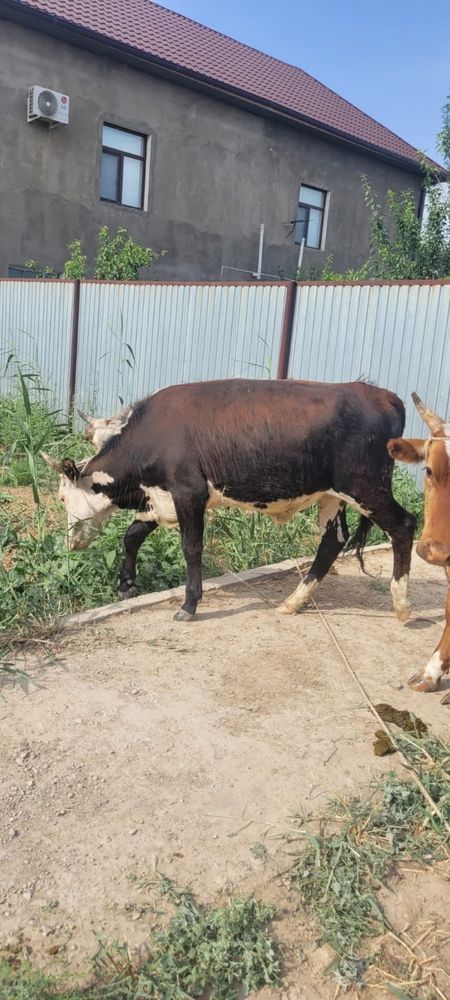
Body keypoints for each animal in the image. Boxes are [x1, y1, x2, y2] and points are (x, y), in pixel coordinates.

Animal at [42, 378, 415, 623]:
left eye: (61, 496)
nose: (70, 543)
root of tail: (379, 393)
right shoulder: (160, 498)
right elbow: (132, 535)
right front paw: (126, 584)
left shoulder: (188, 492)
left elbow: (191, 547)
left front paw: (189, 605)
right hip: (332, 495)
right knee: (333, 540)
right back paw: (294, 601)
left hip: (365, 486)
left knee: (404, 525)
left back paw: (401, 604)